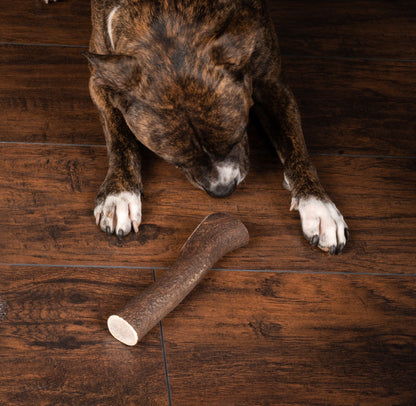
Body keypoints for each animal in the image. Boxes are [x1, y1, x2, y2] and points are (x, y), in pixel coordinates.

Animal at [79, 0, 346, 254]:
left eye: (238, 137)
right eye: (178, 162)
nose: (223, 191)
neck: (168, 13)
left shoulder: (272, 84)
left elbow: (296, 148)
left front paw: (318, 206)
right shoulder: (99, 82)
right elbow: (119, 138)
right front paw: (119, 194)